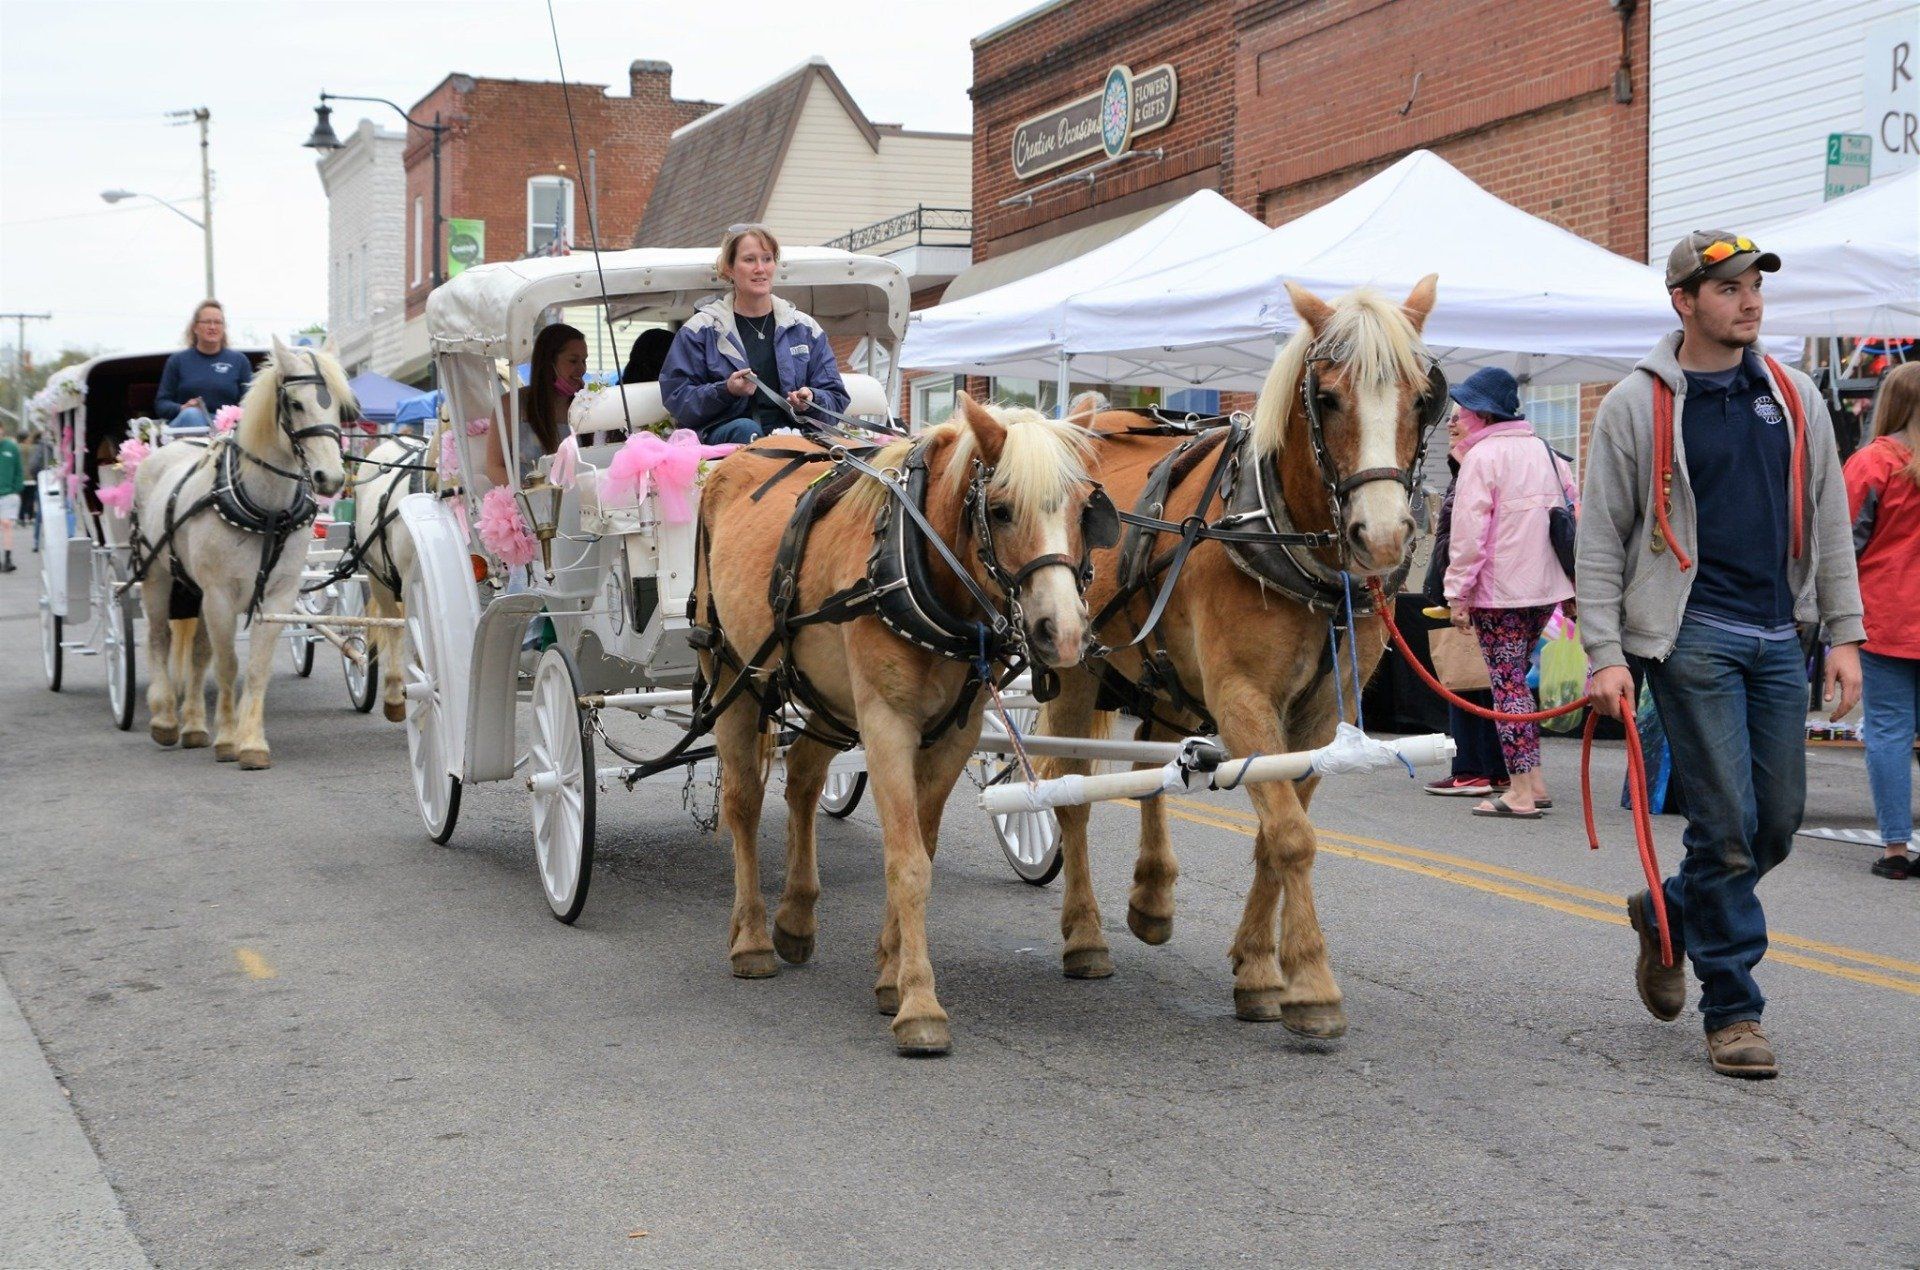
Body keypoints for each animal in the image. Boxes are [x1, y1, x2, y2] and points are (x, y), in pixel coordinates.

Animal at [135, 336, 353, 768]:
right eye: (295, 403)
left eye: (338, 405)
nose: (331, 478)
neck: (265, 510)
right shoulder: (220, 594)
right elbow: (227, 664)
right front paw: (228, 738)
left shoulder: (278, 594)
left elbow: (254, 667)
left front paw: (250, 741)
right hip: (157, 576)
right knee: (159, 638)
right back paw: (165, 718)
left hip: (193, 587)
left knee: (197, 651)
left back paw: (194, 725)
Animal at [698, 395, 1105, 1052]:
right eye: (1000, 509)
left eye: (1082, 509)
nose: (1063, 633)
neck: (922, 570)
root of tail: (735, 460)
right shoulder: (887, 723)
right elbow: (907, 860)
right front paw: (919, 1003)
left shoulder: (955, 733)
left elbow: (923, 847)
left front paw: (890, 973)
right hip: (732, 673)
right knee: (742, 803)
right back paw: (752, 938)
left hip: (825, 698)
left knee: (803, 781)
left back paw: (795, 917)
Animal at [1036, 276, 1443, 1037]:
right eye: (1329, 397)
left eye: (1421, 397)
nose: (1381, 536)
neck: (1290, 546)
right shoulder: (1243, 698)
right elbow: (1290, 835)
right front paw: (1311, 984)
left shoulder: (1319, 715)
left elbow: (1276, 830)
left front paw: (1259, 968)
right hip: (1074, 666)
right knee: (1068, 793)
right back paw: (1085, 936)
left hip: (1163, 676)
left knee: (1148, 771)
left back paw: (1153, 898)